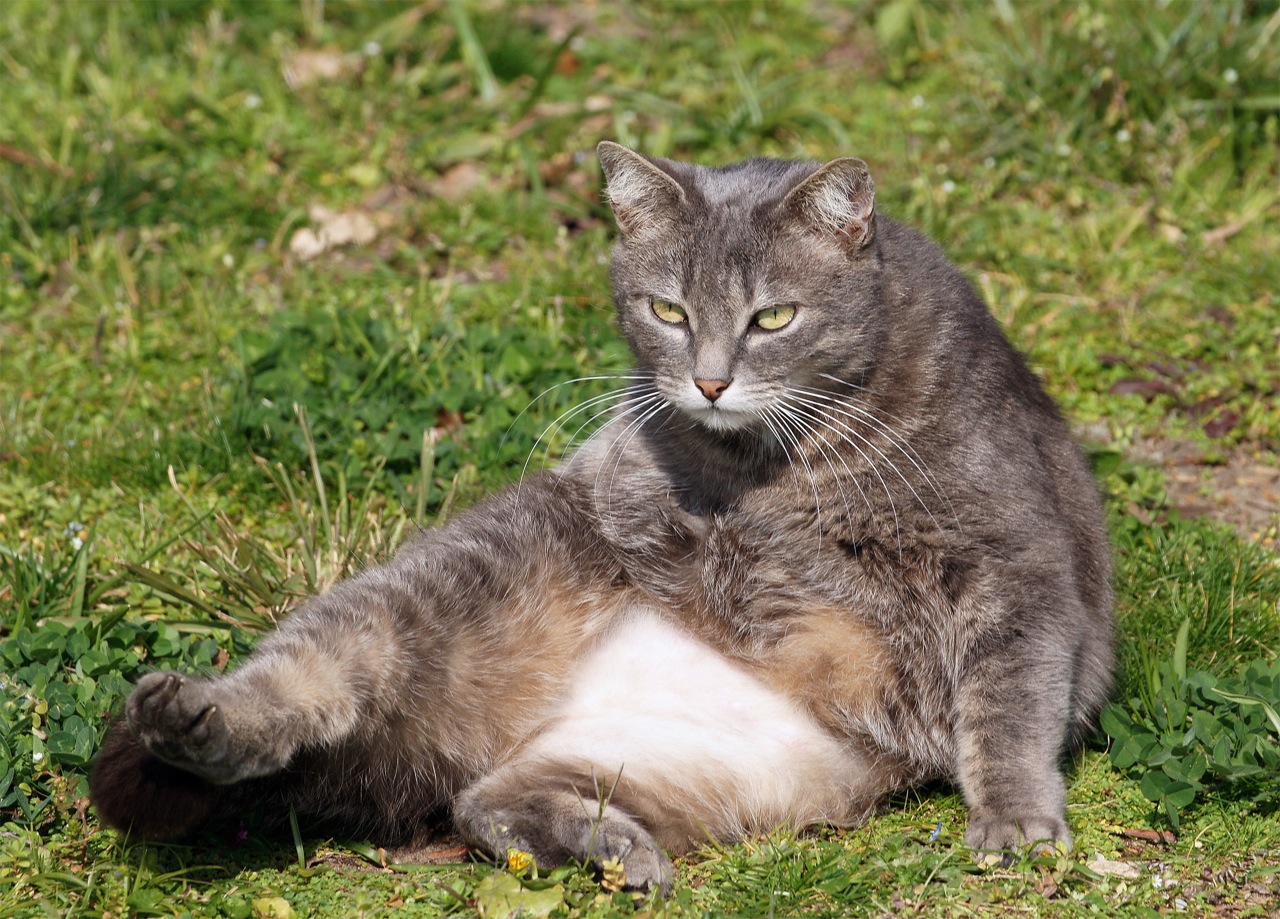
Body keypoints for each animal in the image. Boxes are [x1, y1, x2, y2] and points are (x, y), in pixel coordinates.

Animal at [90, 142, 1111, 890]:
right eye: (668, 309)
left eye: (773, 318)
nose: (710, 380)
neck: (785, 461)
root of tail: (495, 720)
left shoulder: (1017, 564)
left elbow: (1010, 699)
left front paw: (1016, 817)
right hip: (430, 590)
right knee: (313, 687)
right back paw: (192, 719)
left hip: (718, 766)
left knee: (488, 799)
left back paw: (615, 851)